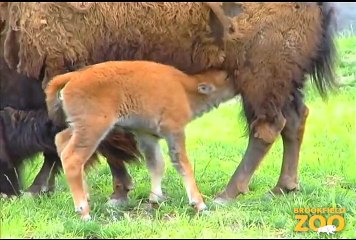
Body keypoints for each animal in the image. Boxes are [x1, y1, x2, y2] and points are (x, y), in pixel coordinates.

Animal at [1, 2, 338, 204]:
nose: (7, 193)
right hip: (283, 83)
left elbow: (96, 145)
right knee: (294, 120)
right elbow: (61, 145)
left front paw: (117, 194)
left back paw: (227, 194)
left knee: (267, 128)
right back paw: (283, 187)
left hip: (260, 79)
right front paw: (40, 188)